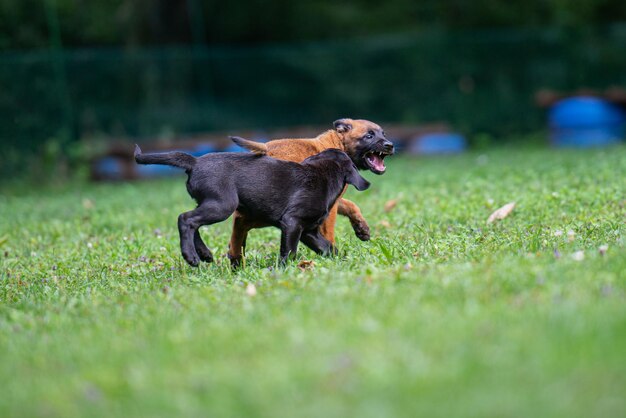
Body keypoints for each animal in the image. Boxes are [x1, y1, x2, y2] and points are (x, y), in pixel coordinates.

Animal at [134, 145, 368, 266]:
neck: (323, 174)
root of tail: (195, 161)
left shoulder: (308, 230)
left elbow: (328, 248)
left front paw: (342, 262)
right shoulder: (292, 223)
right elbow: (288, 252)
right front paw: (283, 270)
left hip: (211, 203)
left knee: (192, 222)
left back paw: (204, 253)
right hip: (223, 204)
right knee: (185, 218)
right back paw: (191, 257)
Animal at [225, 118, 390, 268]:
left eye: (383, 133)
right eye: (369, 136)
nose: (390, 145)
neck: (338, 142)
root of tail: (266, 148)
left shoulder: (330, 199)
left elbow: (350, 205)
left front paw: (361, 227)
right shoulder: (328, 204)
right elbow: (329, 232)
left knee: (238, 228)